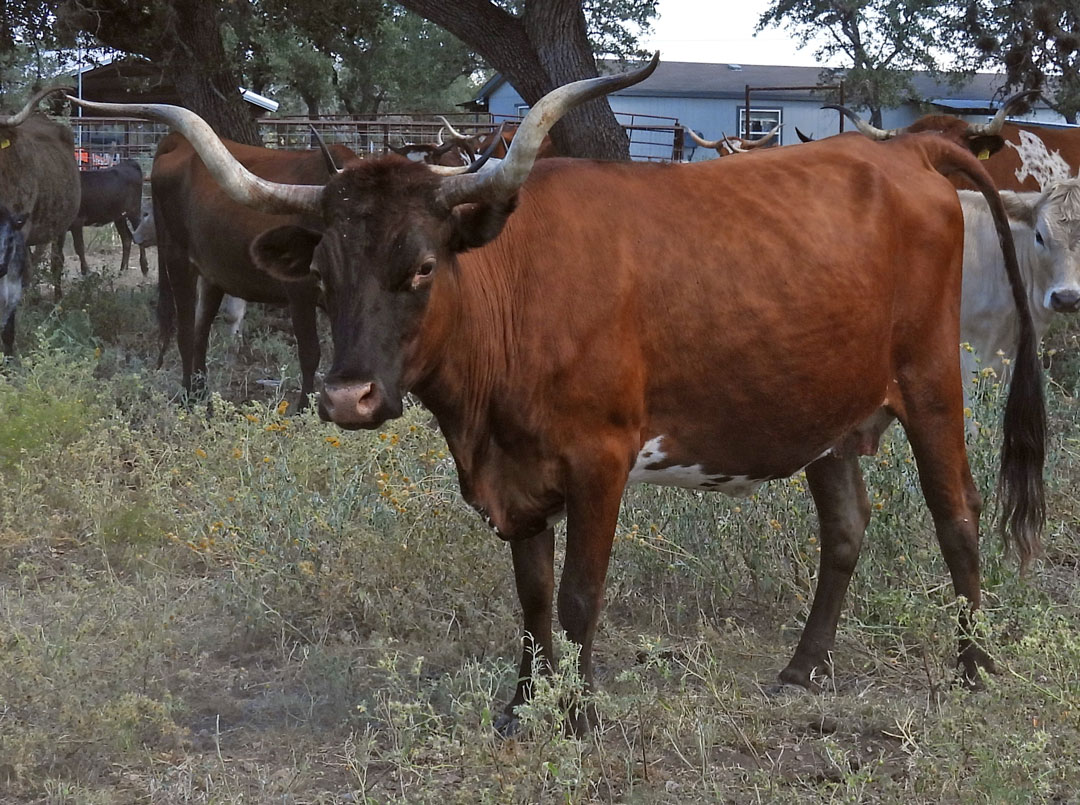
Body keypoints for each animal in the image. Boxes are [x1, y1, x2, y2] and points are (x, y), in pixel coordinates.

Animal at [67, 54, 1045, 734]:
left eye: (421, 268)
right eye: (327, 273)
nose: (347, 398)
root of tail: (906, 149)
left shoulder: (600, 459)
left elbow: (578, 596)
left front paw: (577, 713)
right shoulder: (515, 474)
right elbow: (533, 597)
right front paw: (521, 704)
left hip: (931, 382)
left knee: (956, 513)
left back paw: (975, 666)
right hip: (828, 413)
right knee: (846, 528)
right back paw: (805, 667)